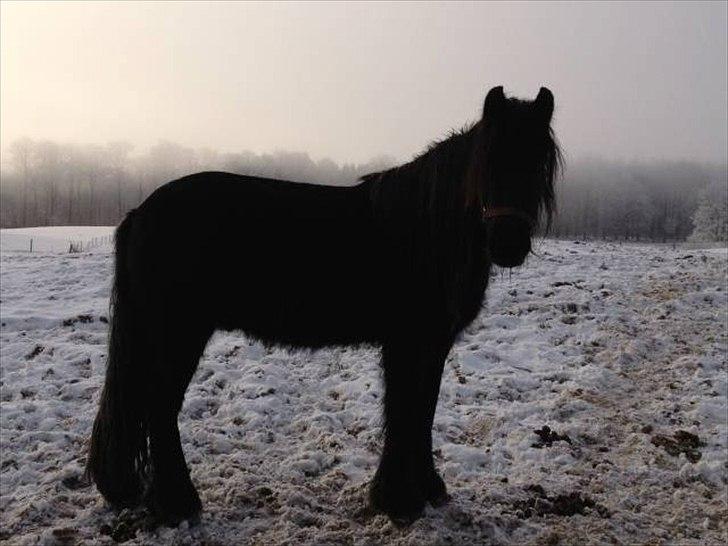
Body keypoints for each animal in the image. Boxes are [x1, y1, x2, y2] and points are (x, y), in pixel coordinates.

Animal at [86, 86, 561, 525]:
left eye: (539, 162)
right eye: (487, 161)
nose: (508, 243)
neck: (425, 232)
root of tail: (140, 212)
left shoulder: (434, 344)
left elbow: (424, 412)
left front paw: (429, 487)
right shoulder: (406, 343)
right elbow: (403, 412)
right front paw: (397, 499)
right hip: (180, 333)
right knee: (160, 407)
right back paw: (178, 504)